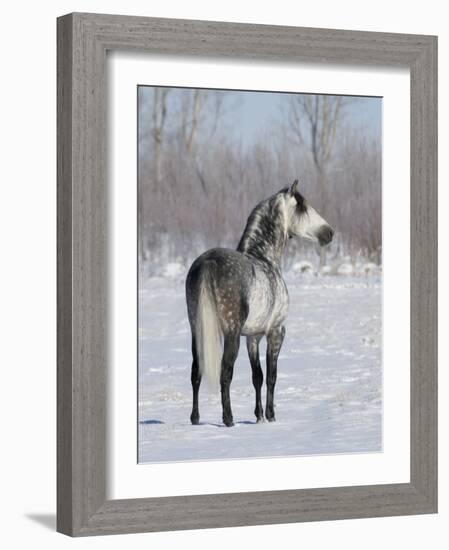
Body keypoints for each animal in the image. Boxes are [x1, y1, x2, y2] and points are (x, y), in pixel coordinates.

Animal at [185, 181, 332, 426]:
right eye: (302, 206)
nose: (329, 233)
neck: (265, 258)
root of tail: (208, 262)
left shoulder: (252, 337)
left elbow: (258, 376)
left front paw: (259, 416)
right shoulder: (276, 332)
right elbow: (271, 375)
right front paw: (270, 416)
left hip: (196, 330)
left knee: (196, 371)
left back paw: (195, 418)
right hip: (231, 334)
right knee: (225, 373)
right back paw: (228, 419)